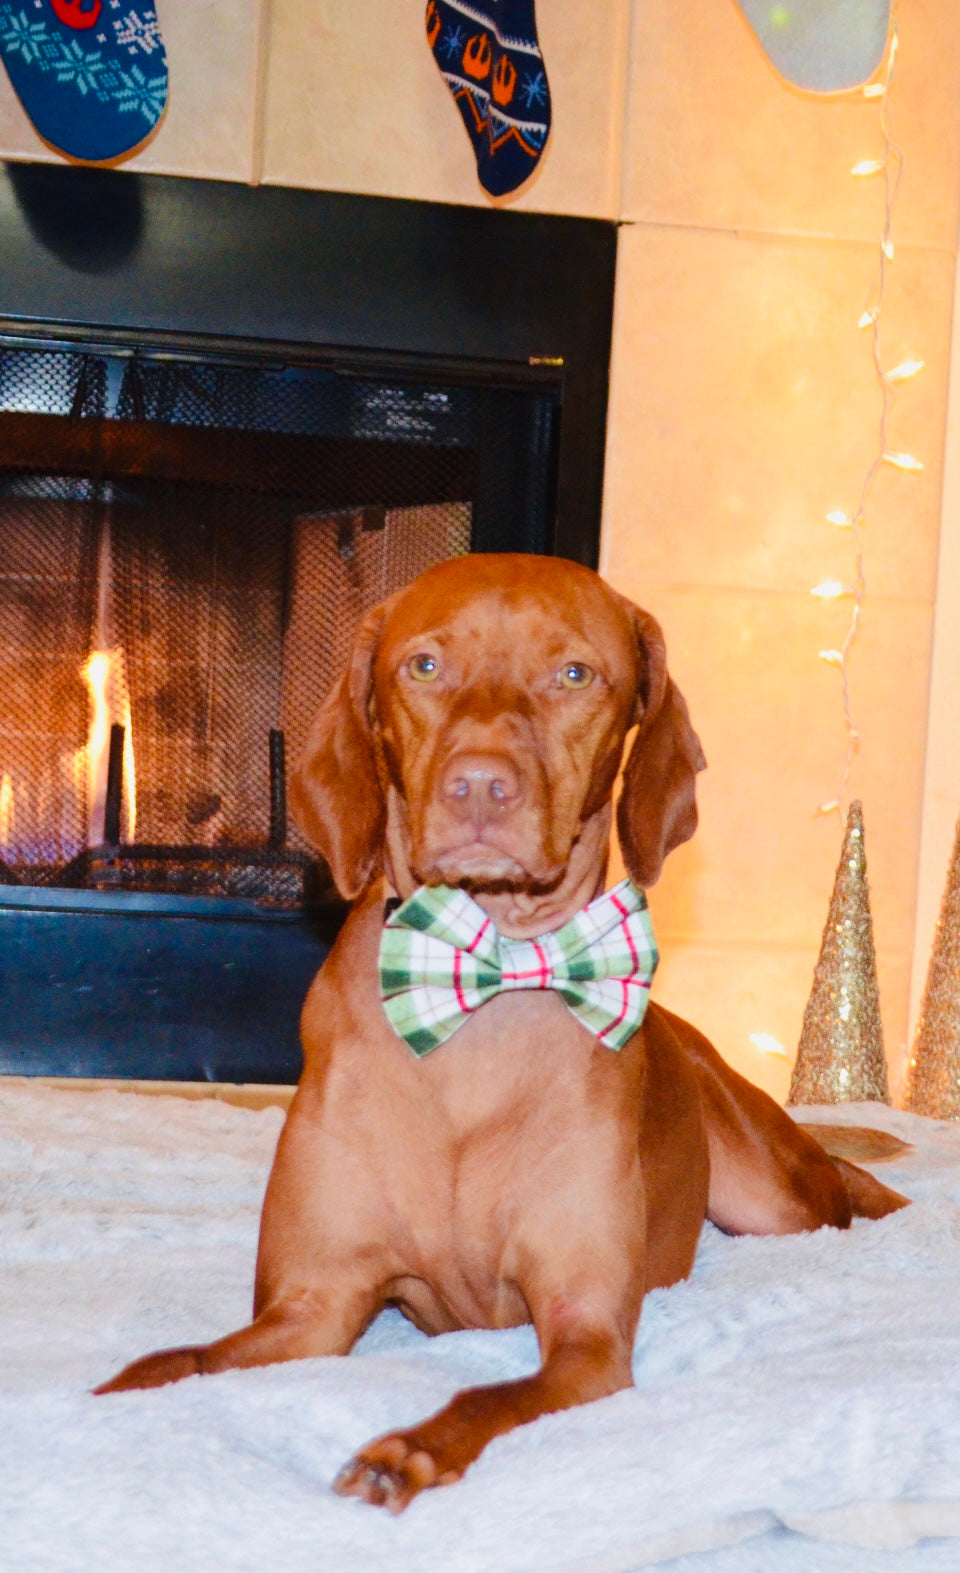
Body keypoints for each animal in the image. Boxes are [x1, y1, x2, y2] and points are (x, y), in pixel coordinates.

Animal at [97, 556, 906, 1510]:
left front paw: (405, 1450)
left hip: (771, 1196)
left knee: (839, 1183)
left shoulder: (586, 1333)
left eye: (574, 674)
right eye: (424, 666)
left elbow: (482, 1396)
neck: (482, 982)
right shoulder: (313, 1304)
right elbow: (174, 1361)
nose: (480, 786)